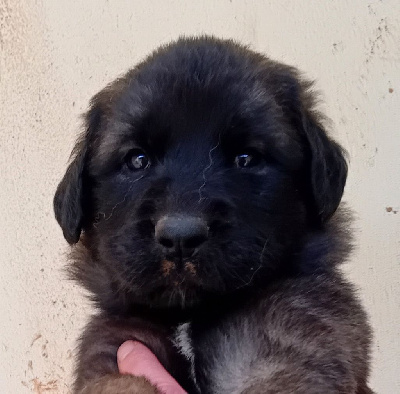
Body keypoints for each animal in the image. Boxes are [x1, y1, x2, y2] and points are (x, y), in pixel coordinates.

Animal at [54, 35, 374, 392]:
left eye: (246, 158)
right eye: (137, 160)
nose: (180, 236)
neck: (190, 315)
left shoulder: (293, 348)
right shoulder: (113, 347)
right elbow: (119, 382)